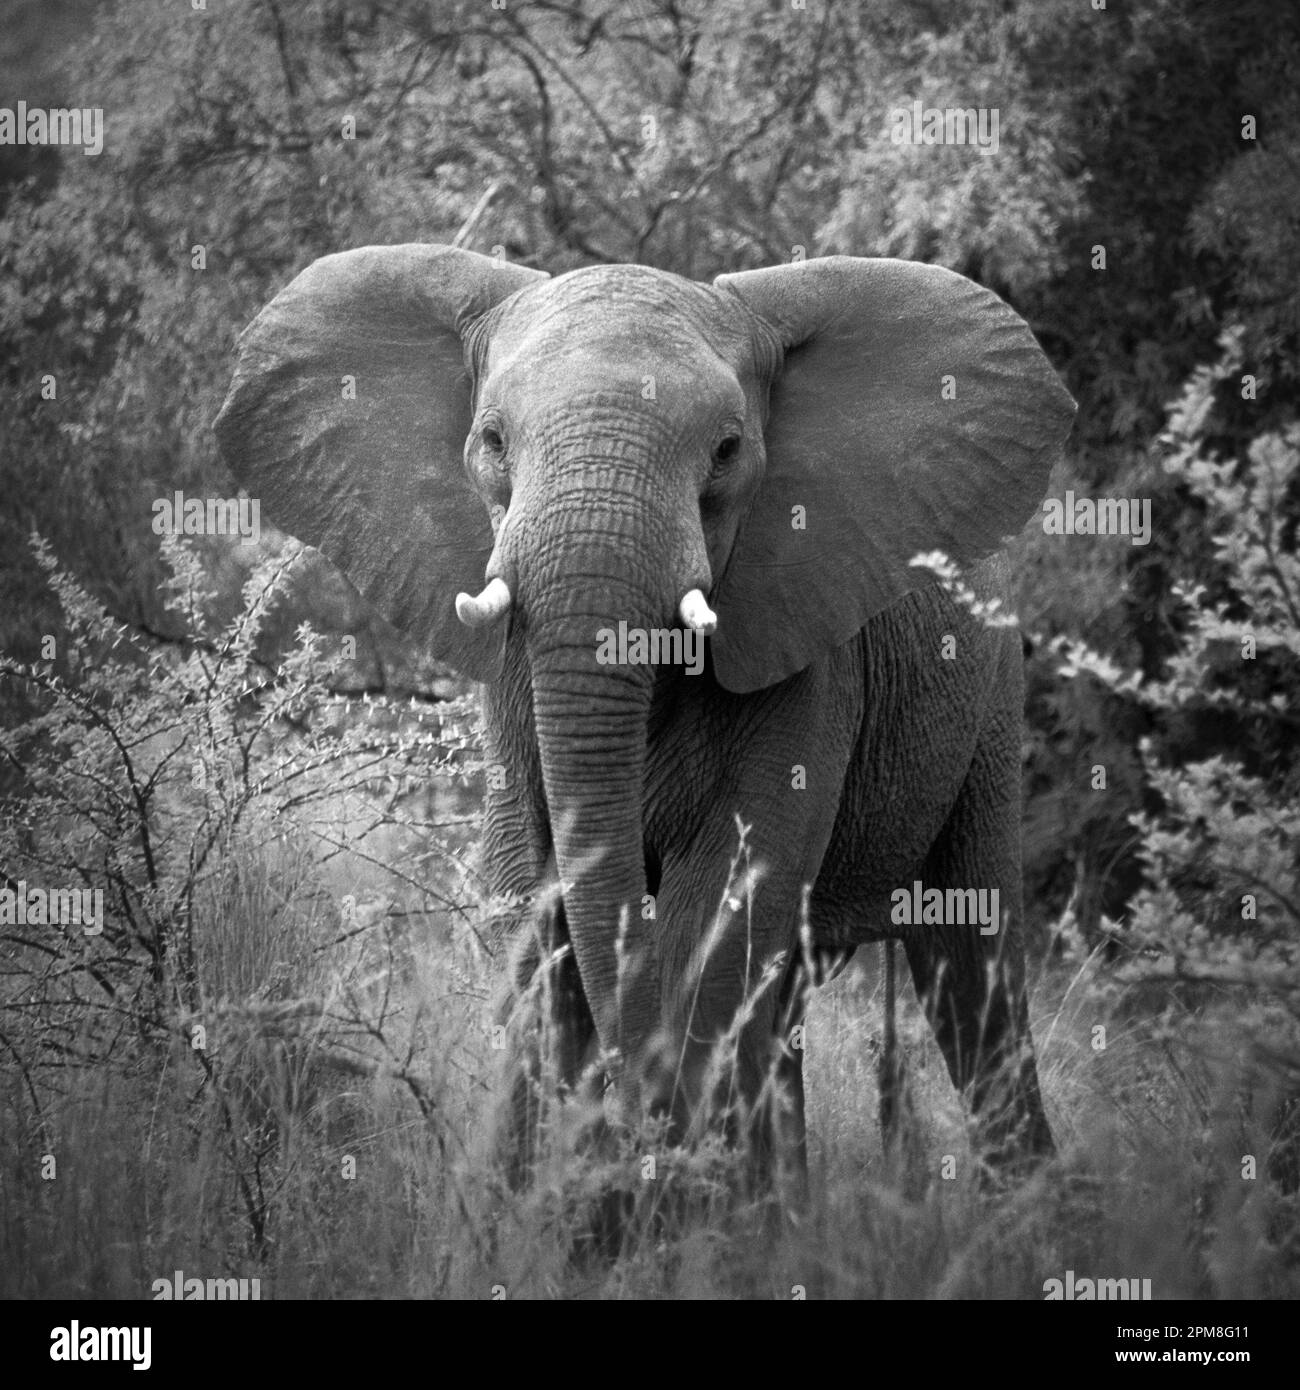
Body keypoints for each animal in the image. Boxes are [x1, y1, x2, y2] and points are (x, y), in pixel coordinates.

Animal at [214, 244, 1075, 1190]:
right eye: (492, 441)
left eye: (727, 452)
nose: (631, 1130)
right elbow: (533, 902)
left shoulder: (803, 649)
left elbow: (722, 906)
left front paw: (665, 1189)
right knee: (793, 1004)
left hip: (993, 701)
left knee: (974, 970)